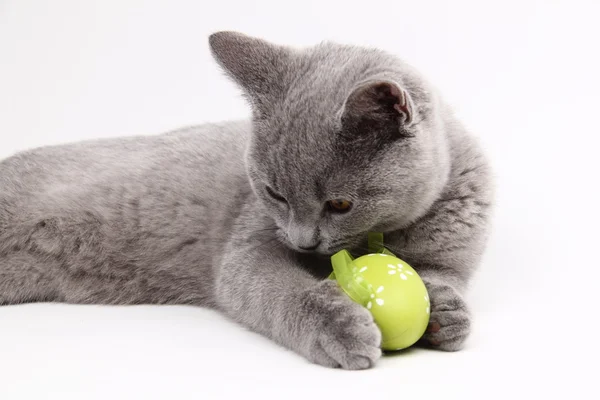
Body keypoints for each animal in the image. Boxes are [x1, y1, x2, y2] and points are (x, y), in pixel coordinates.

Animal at [0, 31, 492, 368]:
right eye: (274, 193)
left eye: (339, 205)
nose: (303, 241)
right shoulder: (250, 246)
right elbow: (281, 290)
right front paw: (341, 327)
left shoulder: (453, 248)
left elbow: (439, 275)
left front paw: (447, 314)